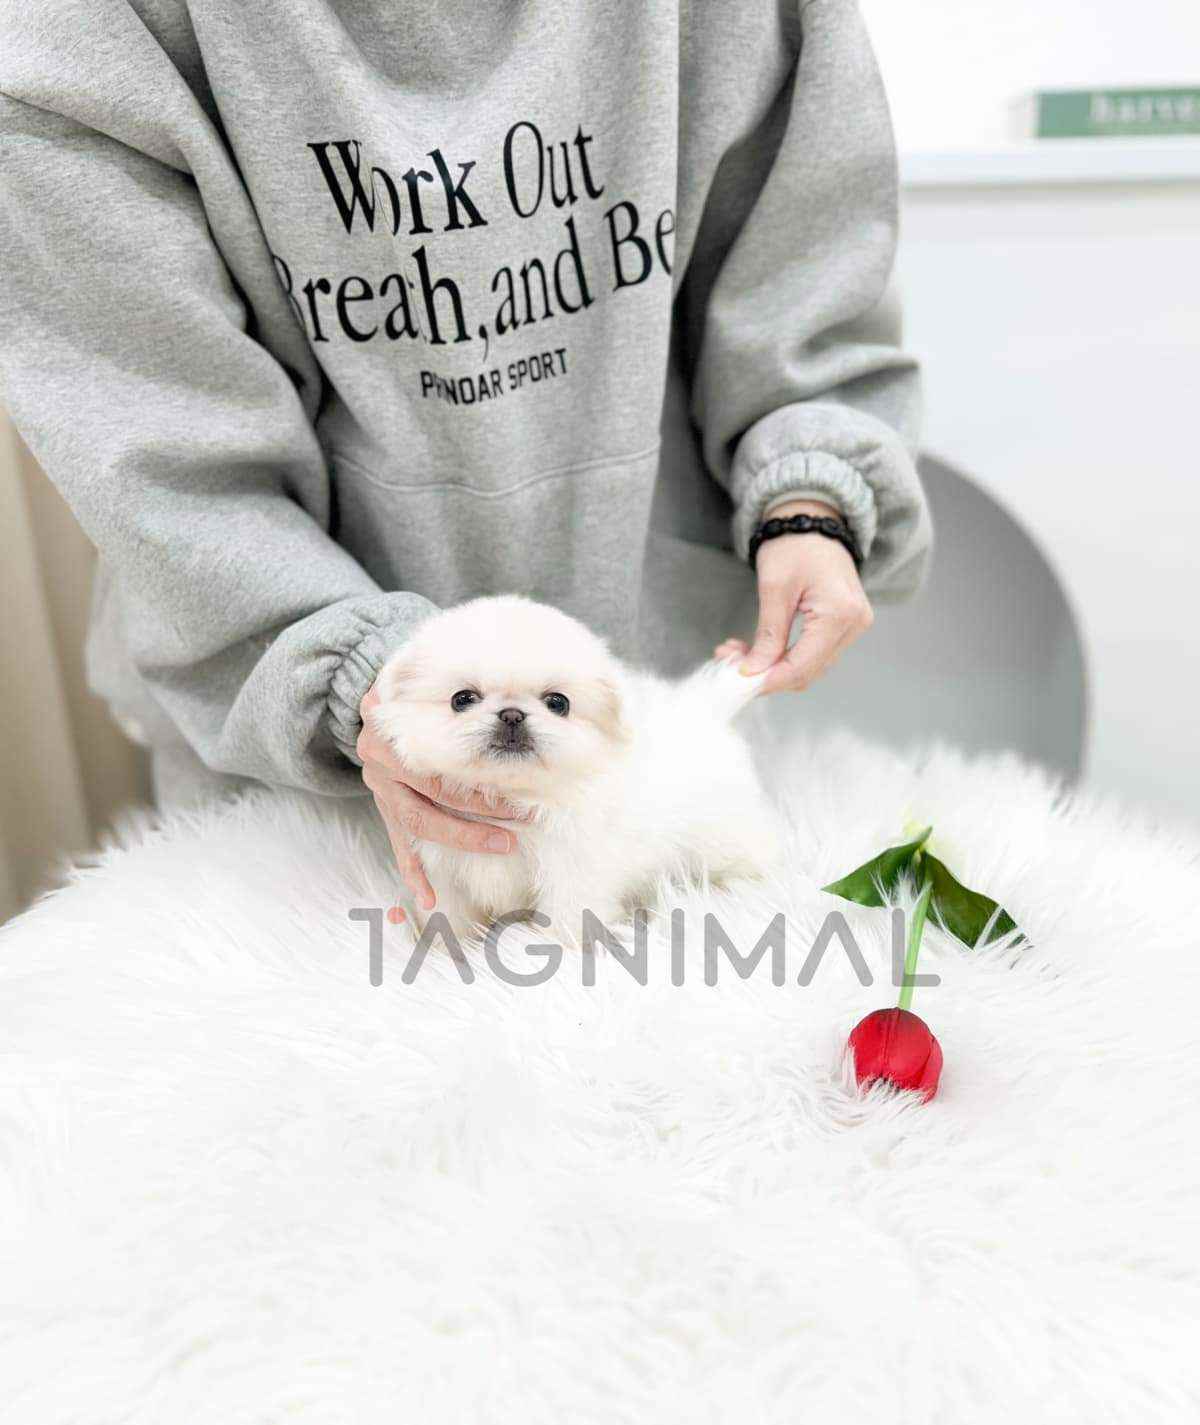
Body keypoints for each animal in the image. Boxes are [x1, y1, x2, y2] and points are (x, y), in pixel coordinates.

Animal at [370, 595, 781, 944]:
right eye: (462, 699)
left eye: (558, 703)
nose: (512, 715)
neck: (513, 797)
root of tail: (703, 706)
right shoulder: (441, 869)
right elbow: (449, 914)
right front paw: (446, 950)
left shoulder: (573, 869)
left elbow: (568, 915)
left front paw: (558, 950)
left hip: (725, 837)